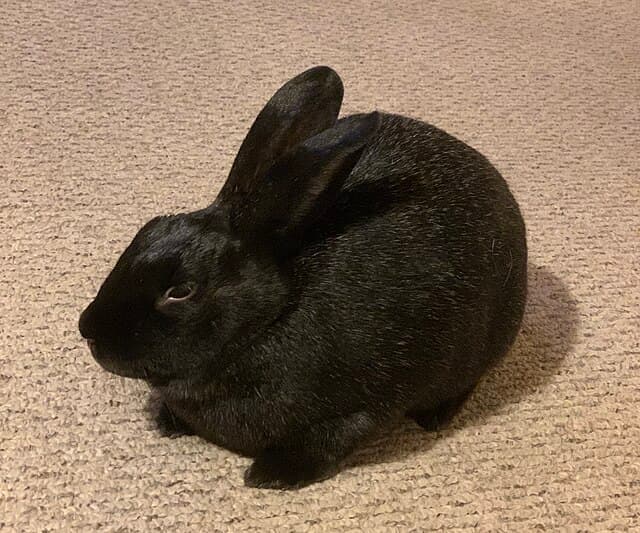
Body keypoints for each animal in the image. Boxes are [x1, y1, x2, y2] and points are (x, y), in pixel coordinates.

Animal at [78, 66, 527, 489]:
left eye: (181, 290)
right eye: (148, 229)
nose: (89, 329)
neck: (268, 320)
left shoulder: (359, 409)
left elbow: (330, 441)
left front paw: (270, 476)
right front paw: (167, 421)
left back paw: (435, 416)